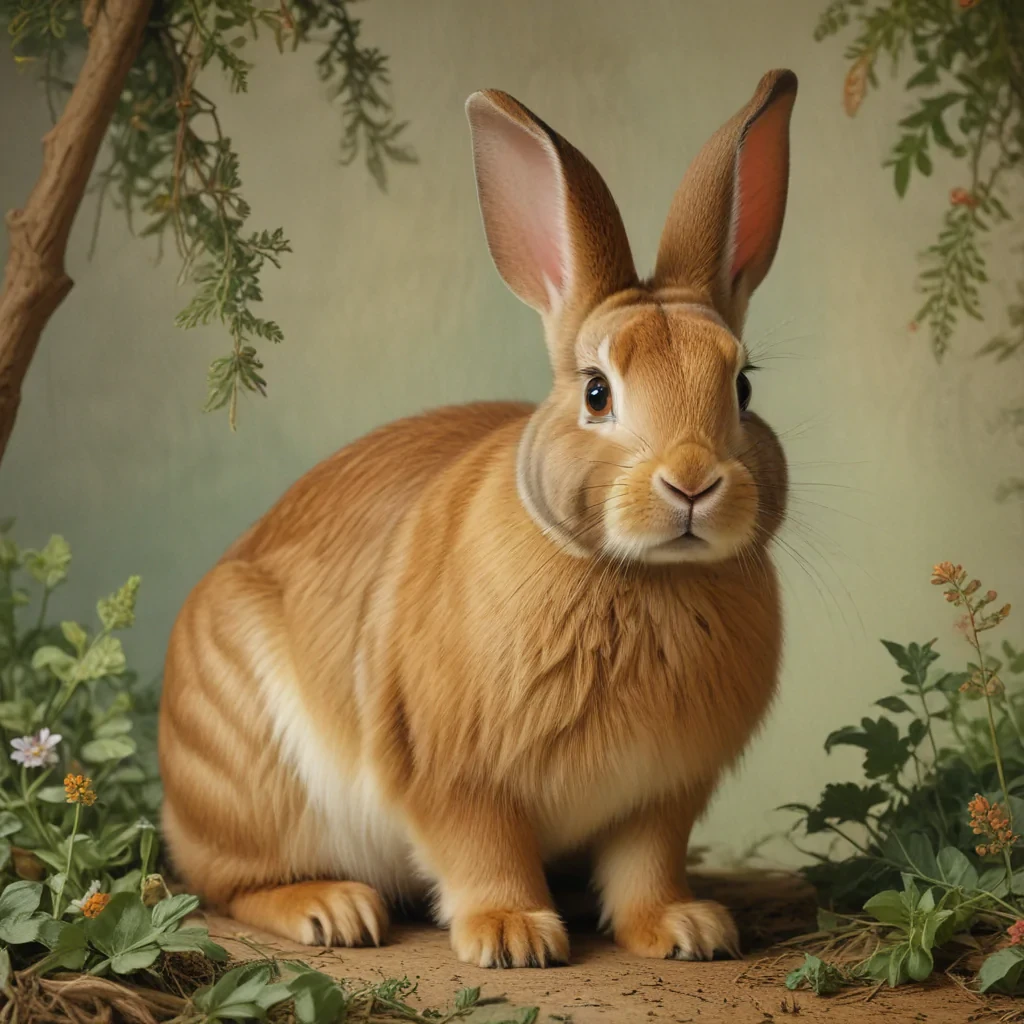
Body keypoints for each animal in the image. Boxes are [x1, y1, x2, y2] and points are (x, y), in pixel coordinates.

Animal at [158, 68, 796, 969]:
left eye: (742, 387)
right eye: (596, 392)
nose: (692, 483)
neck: (638, 575)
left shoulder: (661, 794)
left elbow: (646, 866)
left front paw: (682, 929)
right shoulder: (452, 777)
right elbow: (482, 852)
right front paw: (513, 935)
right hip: (247, 769)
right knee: (228, 882)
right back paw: (331, 910)